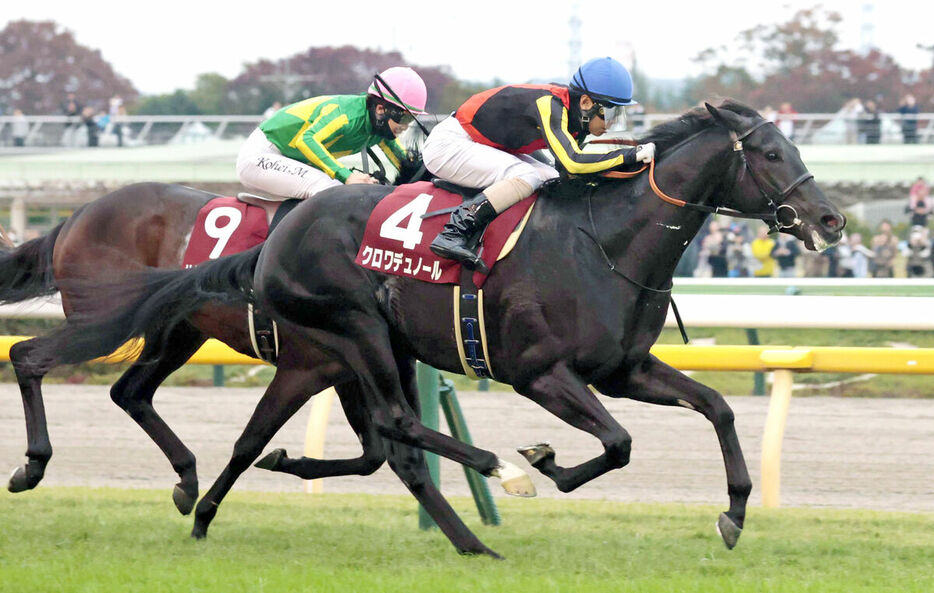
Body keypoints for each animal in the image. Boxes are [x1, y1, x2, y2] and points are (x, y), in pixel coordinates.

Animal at [29, 99, 848, 556]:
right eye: (770, 152)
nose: (831, 218)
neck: (604, 242)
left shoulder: (622, 368)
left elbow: (716, 408)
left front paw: (734, 513)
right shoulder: (539, 371)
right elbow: (616, 443)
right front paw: (543, 462)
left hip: (248, 338)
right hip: (351, 330)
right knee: (397, 426)